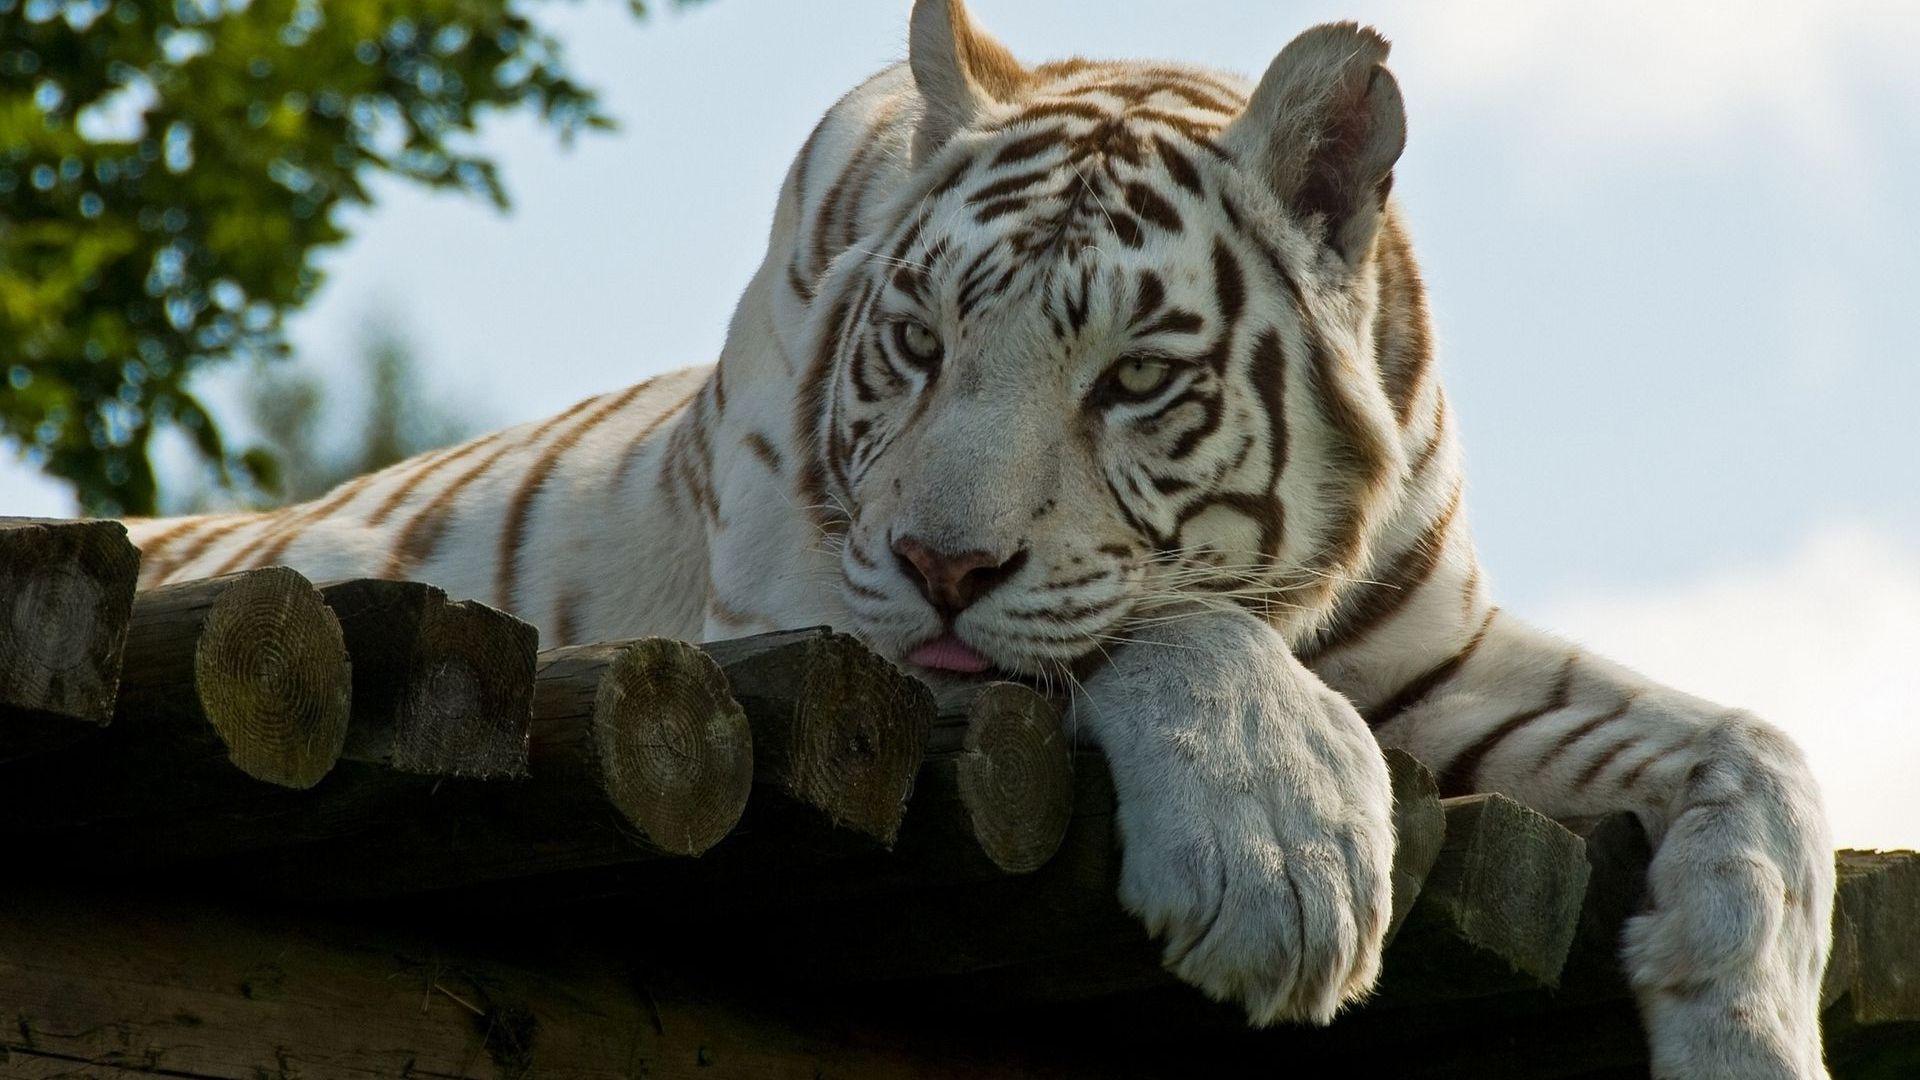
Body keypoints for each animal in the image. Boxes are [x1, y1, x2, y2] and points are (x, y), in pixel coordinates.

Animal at [122, 3, 1835, 1075]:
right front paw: (1285, 859)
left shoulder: (1441, 657)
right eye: (922, 343)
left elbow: (1759, 751)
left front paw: (1749, 1032)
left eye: (1133, 377)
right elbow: (1156, 621)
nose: (946, 566)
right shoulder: (814, 604)